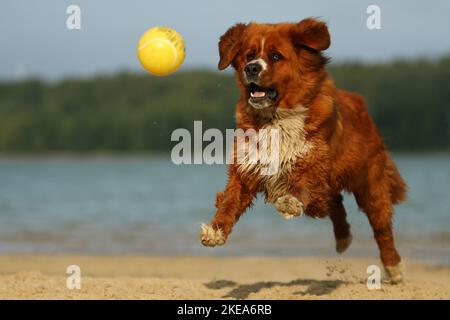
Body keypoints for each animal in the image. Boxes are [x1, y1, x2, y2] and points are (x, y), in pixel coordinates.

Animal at [200, 17, 408, 282]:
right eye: (249, 55)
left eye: (275, 56)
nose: (252, 68)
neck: (275, 118)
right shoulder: (247, 169)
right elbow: (229, 202)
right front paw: (215, 230)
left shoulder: (312, 166)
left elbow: (302, 187)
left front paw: (290, 201)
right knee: (334, 202)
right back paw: (343, 237)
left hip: (370, 184)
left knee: (381, 226)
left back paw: (394, 266)